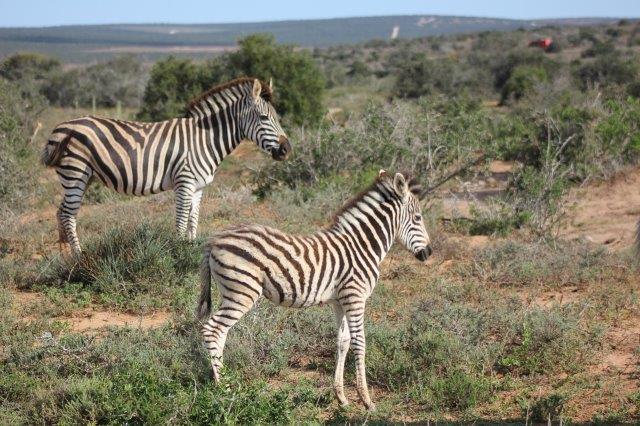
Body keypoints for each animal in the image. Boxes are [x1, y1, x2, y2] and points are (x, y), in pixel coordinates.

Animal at [41, 76, 288, 253]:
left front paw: (190, 251)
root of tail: (60, 127)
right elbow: (181, 222)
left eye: (277, 117)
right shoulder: (184, 182)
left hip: (83, 177)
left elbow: (193, 221)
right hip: (75, 173)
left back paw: (64, 256)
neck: (205, 139)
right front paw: (177, 255)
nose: (287, 149)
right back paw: (78, 257)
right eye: (264, 118)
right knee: (68, 215)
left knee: (60, 212)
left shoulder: (198, 187)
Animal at [198, 170, 432, 410]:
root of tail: (214, 241)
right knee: (213, 329)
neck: (362, 247)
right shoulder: (355, 296)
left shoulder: (340, 301)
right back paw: (224, 389)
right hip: (242, 291)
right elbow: (360, 342)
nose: (429, 253)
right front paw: (366, 400)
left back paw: (222, 381)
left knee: (221, 332)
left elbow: (343, 342)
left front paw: (341, 397)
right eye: (418, 218)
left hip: (232, 292)